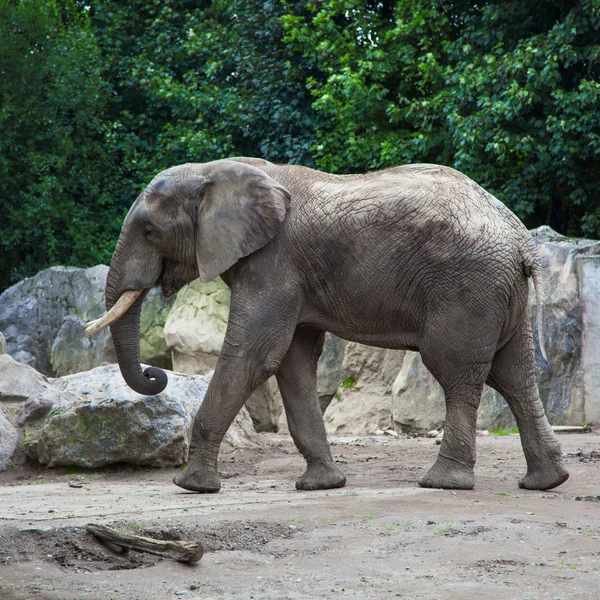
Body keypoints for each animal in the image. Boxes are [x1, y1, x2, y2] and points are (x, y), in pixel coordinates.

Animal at [84, 157, 568, 494]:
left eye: (149, 231)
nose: (156, 374)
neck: (216, 171)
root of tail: (522, 240)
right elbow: (292, 361)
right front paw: (322, 485)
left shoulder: (273, 263)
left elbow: (255, 354)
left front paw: (192, 487)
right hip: (501, 294)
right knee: (514, 376)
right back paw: (547, 482)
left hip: (467, 288)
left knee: (457, 372)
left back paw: (443, 483)